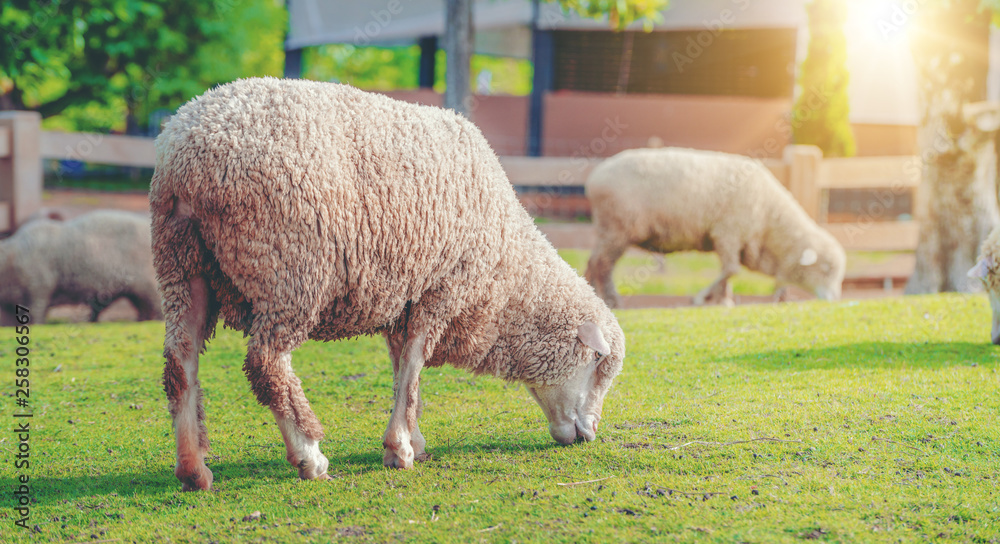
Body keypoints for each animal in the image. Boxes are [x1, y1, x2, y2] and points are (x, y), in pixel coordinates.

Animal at [150, 77, 624, 492]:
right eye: (600, 364)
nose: (590, 434)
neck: (507, 276)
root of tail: (184, 155)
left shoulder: (405, 300)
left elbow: (403, 375)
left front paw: (413, 439)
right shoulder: (441, 289)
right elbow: (413, 367)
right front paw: (399, 450)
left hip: (182, 267)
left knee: (180, 365)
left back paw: (194, 470)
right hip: (288, 269)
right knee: (267, 365)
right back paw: (310, 456)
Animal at [584, 147, 848, 308]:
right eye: (826, 269)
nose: (835, 299)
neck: (769, 219)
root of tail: (594, 178)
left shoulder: (734, 238)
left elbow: (728, 270)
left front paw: (723, 299)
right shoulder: (727, 232)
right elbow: (731, 269)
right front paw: (705, 297)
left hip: (607, 228)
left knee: (593, 261)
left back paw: (591, 294)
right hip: (617, 226)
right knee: (603, 264)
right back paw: (612, 300)